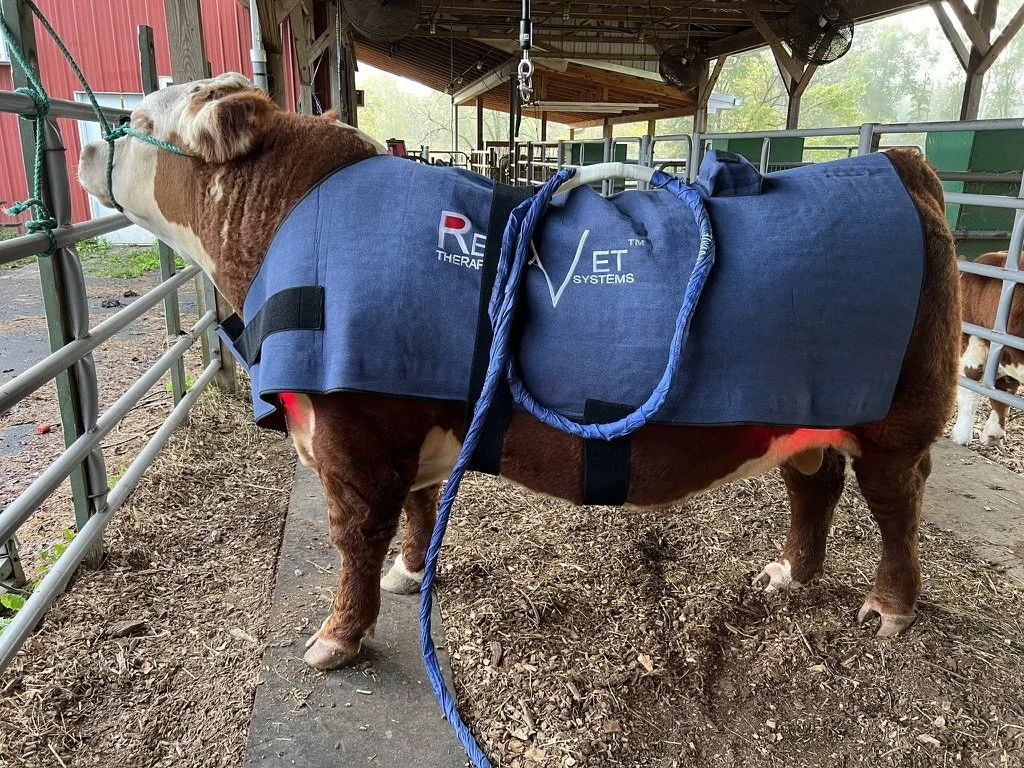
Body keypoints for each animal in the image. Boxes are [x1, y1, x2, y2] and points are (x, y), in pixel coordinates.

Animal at [78, 74, 961, 671]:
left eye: (137, 117)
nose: (85, 142)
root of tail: (905, 167)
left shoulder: (355, 431)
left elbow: (354, 536)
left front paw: (335, 638)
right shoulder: (414, 413)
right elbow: (419, 507)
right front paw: (410, 575)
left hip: (899, 421)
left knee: (896, 506)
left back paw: (888, 610)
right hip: (805, 413)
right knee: (814, 484)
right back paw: (791, 574)